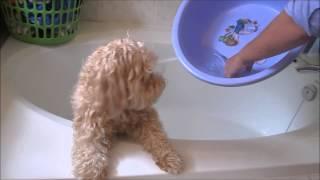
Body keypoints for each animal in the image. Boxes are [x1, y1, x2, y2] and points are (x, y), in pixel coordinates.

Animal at [71, 37, 184, 179]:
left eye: (150, 69)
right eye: (144, 76)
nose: (162, 82)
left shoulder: (146, 116)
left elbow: (157, 137)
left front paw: (169, 157)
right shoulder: (89, 121)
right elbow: (89, 145)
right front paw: (90, 170)